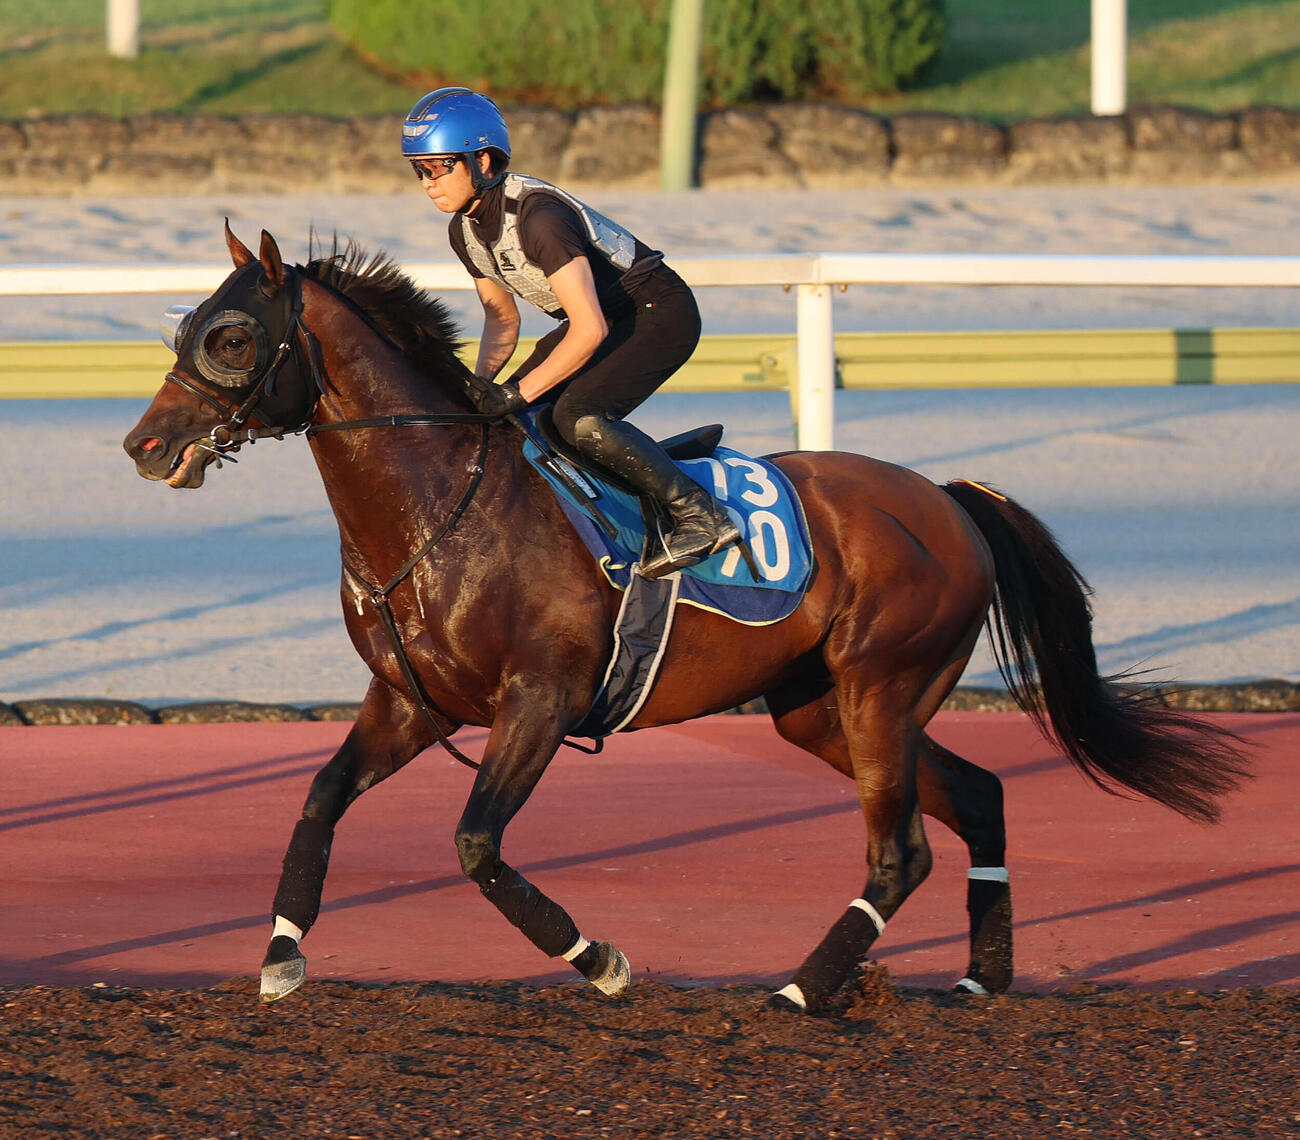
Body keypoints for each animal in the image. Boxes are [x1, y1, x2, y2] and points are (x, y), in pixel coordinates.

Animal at [123, 225, 1250, 1013]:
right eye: (183, 328)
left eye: (231, 337)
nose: (143, 445)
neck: (438, 503)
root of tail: (950, 499)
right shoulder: (411, 702)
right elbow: (318, 802)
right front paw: (280, 957)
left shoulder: (540, 700)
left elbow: (478, 846)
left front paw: (602, 961)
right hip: (818, 708)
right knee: (977, 796)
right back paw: (983, 976)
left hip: (881, 687)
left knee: (902, 852)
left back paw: (802, 988)